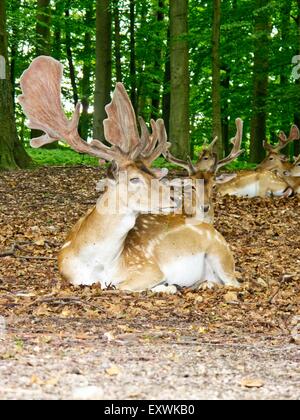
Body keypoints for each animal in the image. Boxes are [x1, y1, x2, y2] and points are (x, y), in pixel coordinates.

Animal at [18, 55, 240, 292]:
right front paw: (168, 287)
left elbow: (121, 286)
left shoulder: (148, 267)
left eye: (154, 176)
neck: (98, 265)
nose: (174, 198)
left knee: (236, 283)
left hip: (220, 254)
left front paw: (168, 286)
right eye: (134, 179)